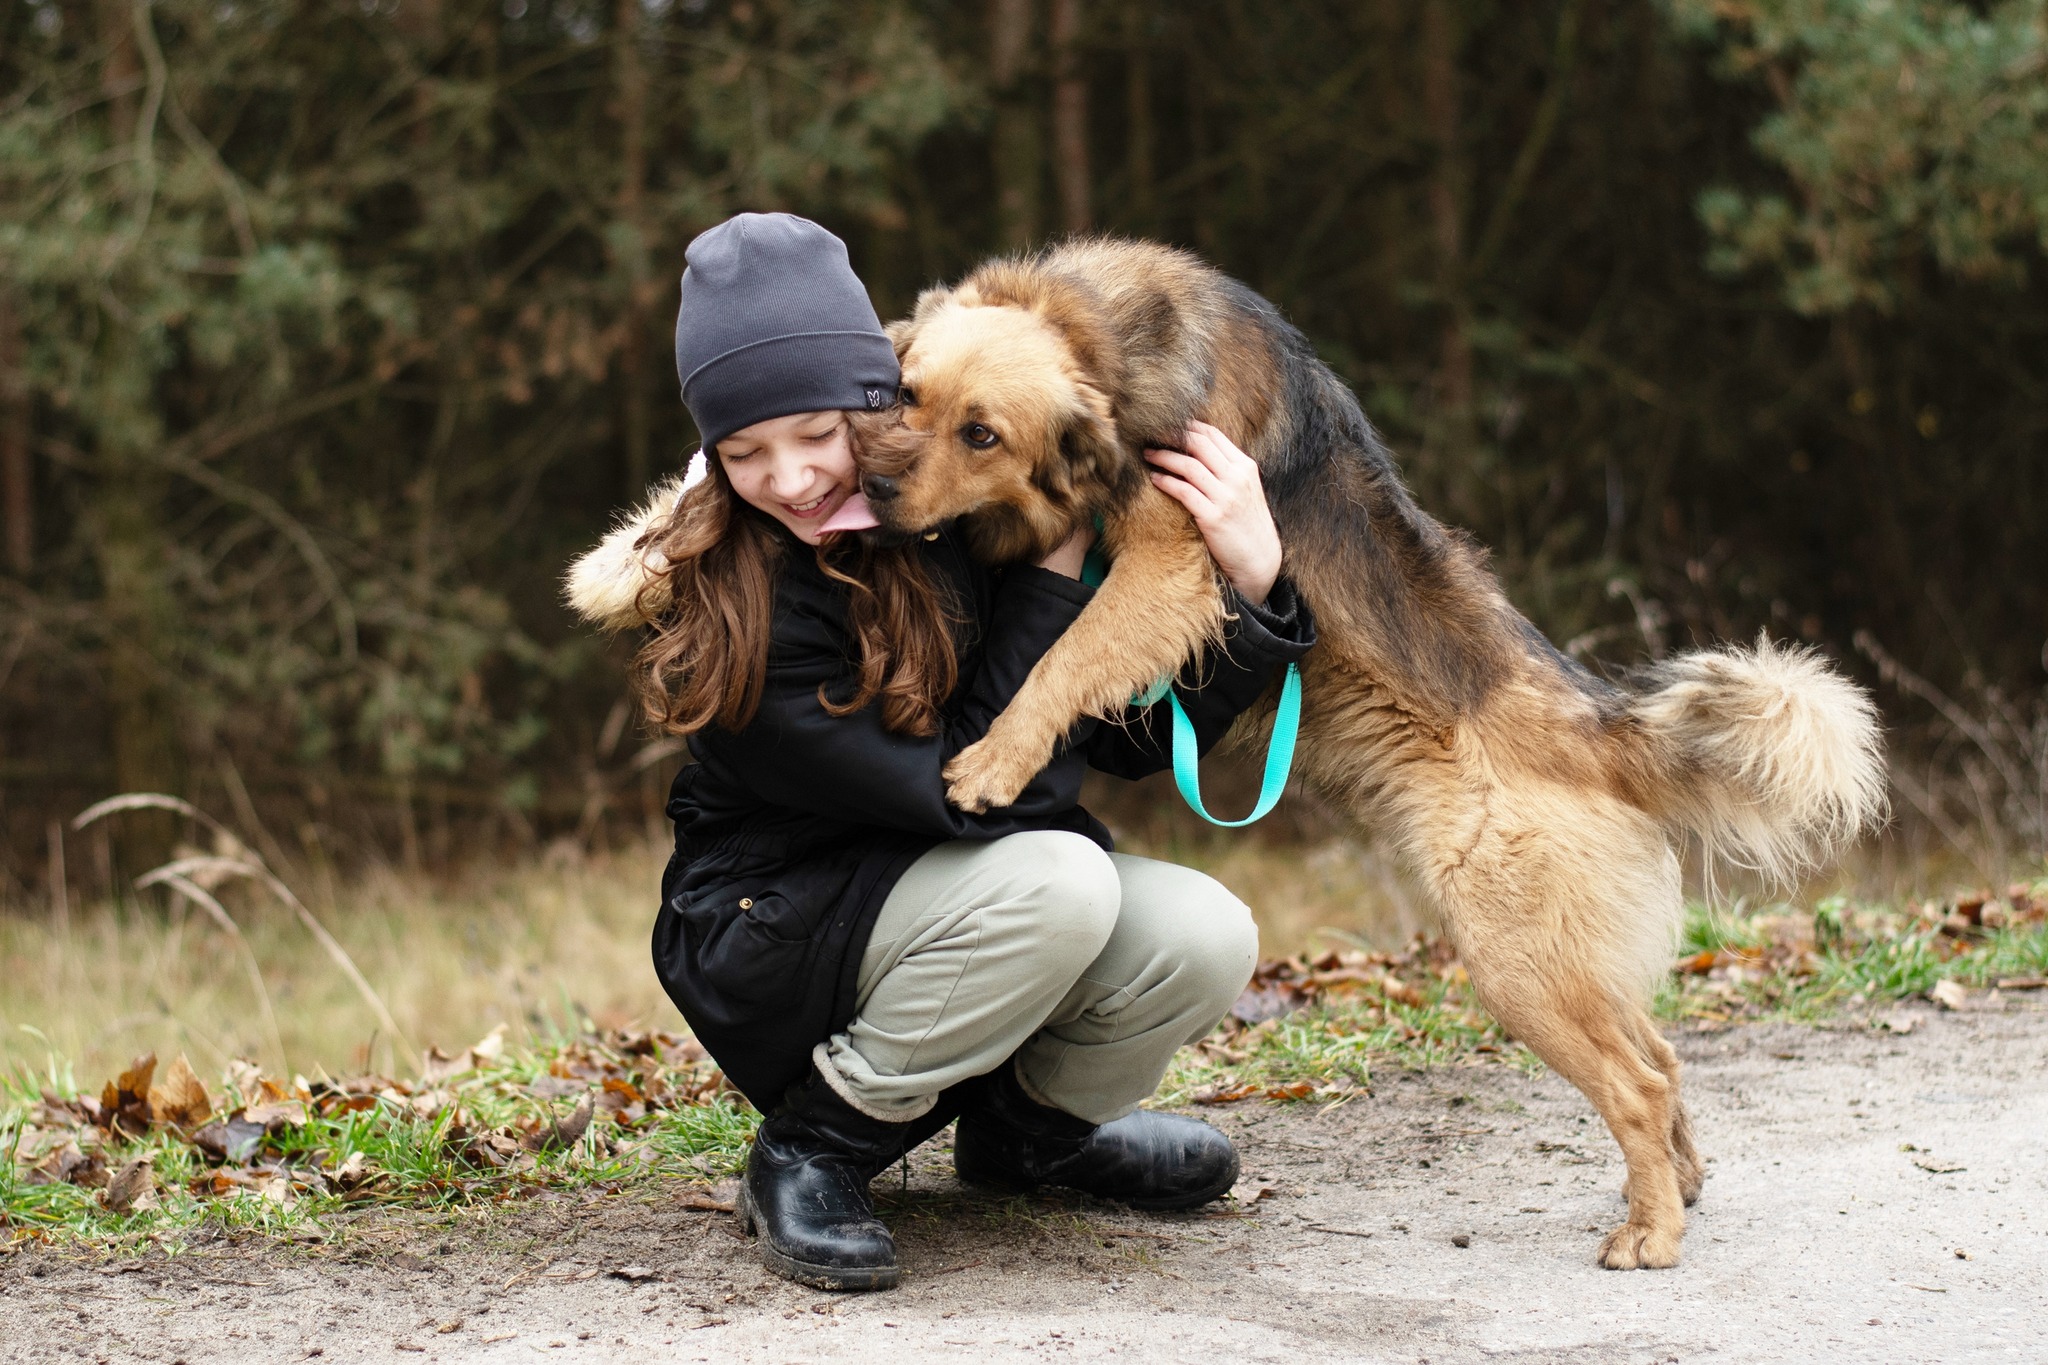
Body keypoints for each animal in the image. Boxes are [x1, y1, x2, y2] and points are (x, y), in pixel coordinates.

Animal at [839, 237, 1875, 1268]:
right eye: (903, 394)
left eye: (982, 434)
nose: (873, 487)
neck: (1095, 333)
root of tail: (1598, 726)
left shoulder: (1169, 568)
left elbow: (1060, 661)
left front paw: (993, 759)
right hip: (1565, 956)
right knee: (1660, 1054)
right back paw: (1677, 1185)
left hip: (1517, 960)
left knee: (1640, 1081)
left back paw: (1651, 1231)